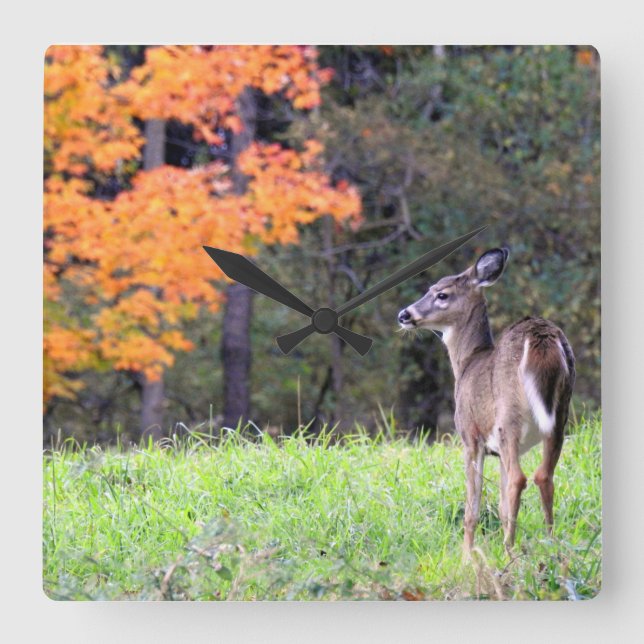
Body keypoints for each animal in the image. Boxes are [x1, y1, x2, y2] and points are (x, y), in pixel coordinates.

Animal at [397, 247, 575, 555]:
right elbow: (502, 506)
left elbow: (472, 506)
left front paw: (467, 554)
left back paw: (509, 550)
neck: (467, 363)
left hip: (508, 416)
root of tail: (542, 337)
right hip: (559, 416)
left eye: (441, 294)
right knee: (544, 475)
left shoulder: (470, 435)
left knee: (519, 478)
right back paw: (550, 544)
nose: (404, 314)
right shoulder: (498, 450)